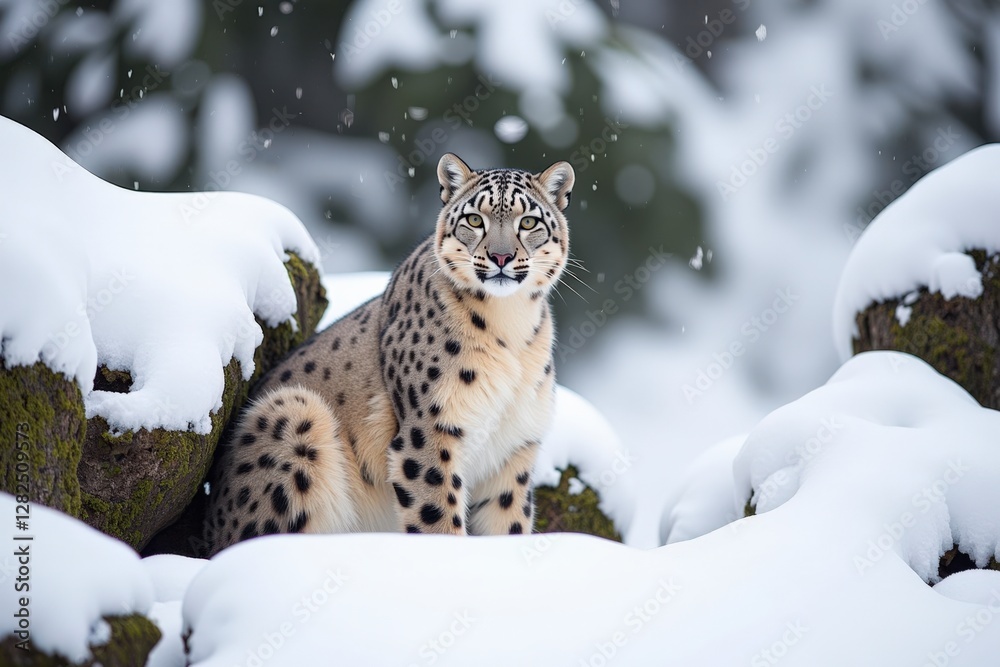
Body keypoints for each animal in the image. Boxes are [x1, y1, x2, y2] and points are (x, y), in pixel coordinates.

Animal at [202, 153, 574, 555]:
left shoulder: (513, 450)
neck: (511, 327)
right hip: (294, 411)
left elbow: (509, 524)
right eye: (475, 219)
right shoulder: (428, 432)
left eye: (529, 221)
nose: (501, 256)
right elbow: (438, 519)